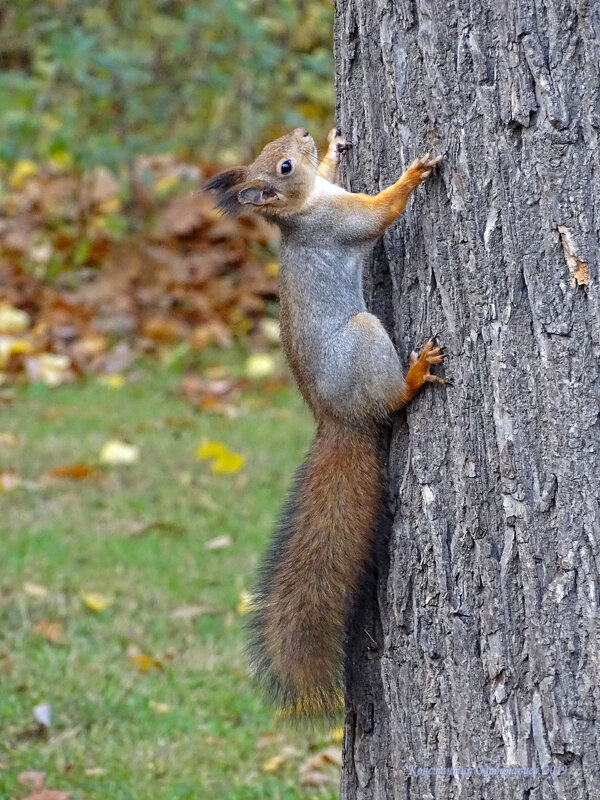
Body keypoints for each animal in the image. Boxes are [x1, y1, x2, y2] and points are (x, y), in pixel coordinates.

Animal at [206, 126, 446, 720]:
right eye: (285, 167)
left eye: (279, 150)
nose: (304, 133)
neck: (302, 207)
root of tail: (337, 419)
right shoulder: (339, 221)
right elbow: (379, 213)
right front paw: (411, 176)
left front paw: (336, 146)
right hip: (365, 338)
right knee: (392, 402)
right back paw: (413, 376)